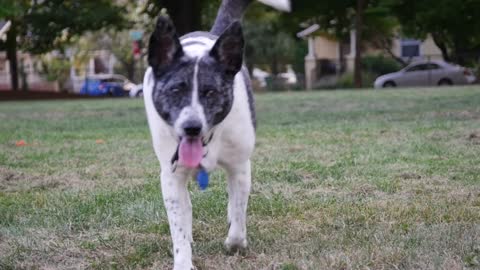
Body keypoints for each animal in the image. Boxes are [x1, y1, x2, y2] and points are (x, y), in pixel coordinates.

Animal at [142, 0, 288, 268]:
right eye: (176, 90)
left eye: (210, 92)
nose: (192, 127)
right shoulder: (171, 175)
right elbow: (178, 225)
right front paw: (183, 260)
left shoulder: (240, 166)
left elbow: (239, 211)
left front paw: (235, 243)